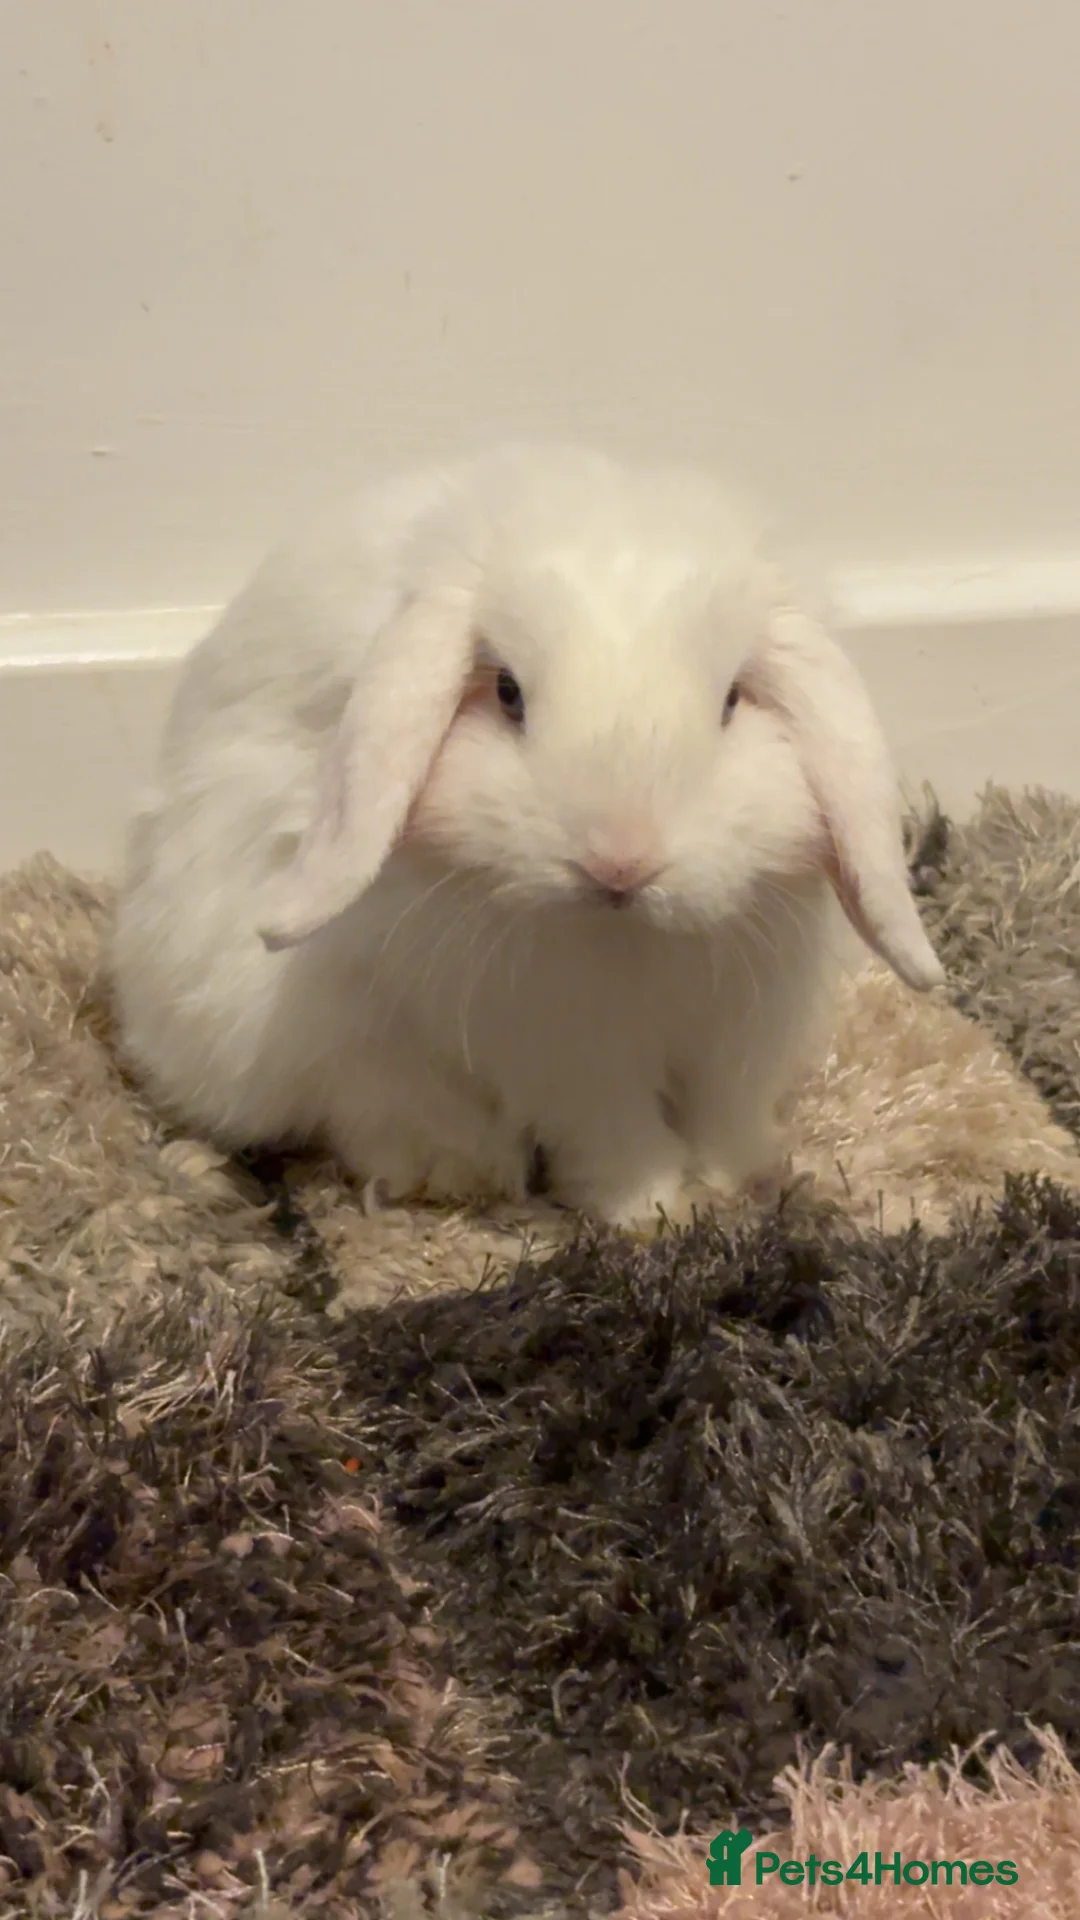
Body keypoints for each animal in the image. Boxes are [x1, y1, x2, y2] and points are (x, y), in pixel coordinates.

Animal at [110, 442, 943, 1231]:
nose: (619, 863)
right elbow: (614, 1133)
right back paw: (461, 1171)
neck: (627, 943)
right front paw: (657, 1212)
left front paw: (746, 1174)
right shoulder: (556, 1046)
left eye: (733, 701)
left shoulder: (742, 1030)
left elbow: (724, 1114)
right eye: (508, 694)